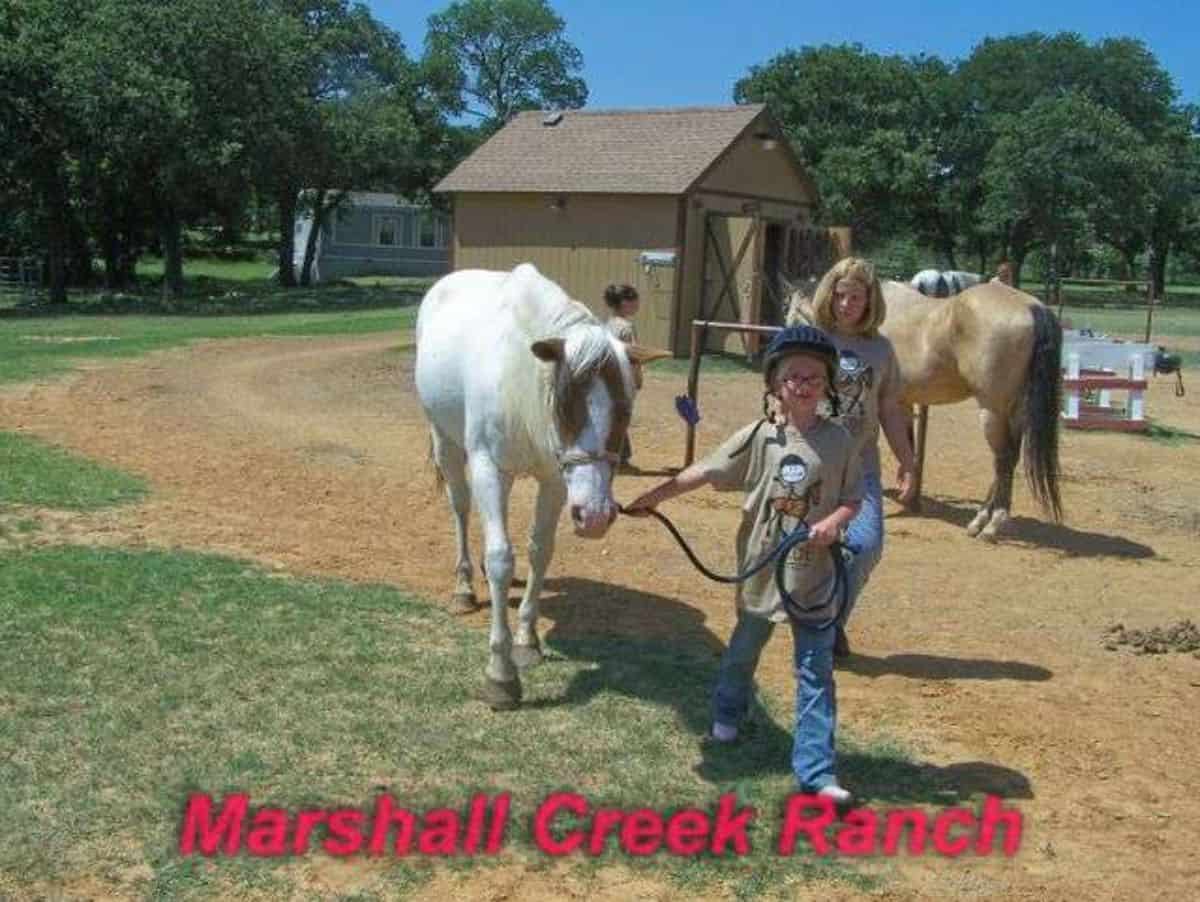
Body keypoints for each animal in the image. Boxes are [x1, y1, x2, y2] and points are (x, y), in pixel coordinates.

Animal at [417, 263, 672, 710]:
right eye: (566, 404)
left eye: (626, 411)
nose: (595, 516)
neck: (520, 379)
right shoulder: (488, 467)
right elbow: (501, 558)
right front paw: (501, 675)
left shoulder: (554, 480)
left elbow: (539, 551)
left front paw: (527, 640)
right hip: (445, 440)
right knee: (461, 508)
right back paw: (464, 587)